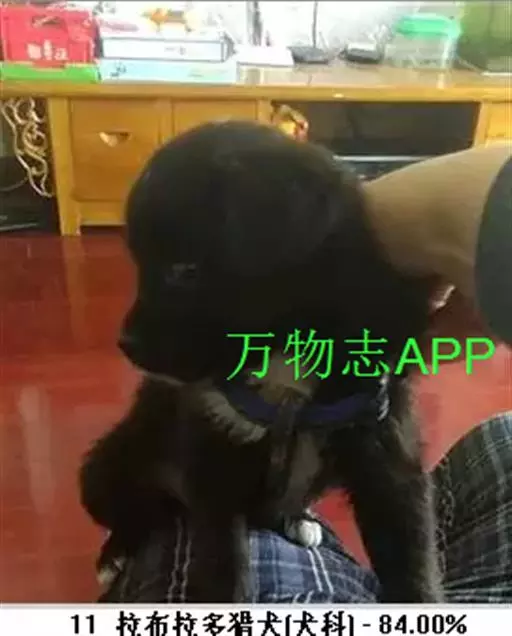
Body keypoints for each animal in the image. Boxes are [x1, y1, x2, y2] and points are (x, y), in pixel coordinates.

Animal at [80, 120, 443, 603]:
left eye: (185, 270)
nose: (126, 345)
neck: (285, 351)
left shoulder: (389, 455)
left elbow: (415, 560)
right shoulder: (212, 458)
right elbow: (222, 562)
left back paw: (297, 520)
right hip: (104, 469)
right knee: (135, 510)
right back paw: (115, 553)